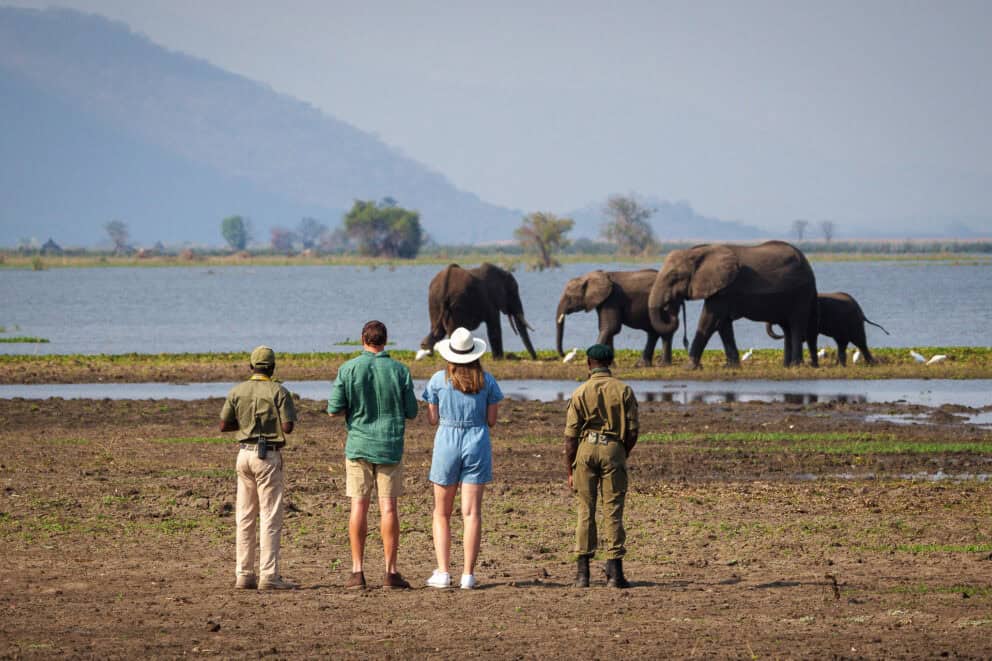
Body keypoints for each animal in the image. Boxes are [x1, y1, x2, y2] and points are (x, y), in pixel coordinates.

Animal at [647, 240, 819, 368]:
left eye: (674, 277)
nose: (672, 307)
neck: (697, 252)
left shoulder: (725, 289)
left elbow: (709, 320)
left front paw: (689, 367)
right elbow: (723, 325)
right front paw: (731, 366)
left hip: (801, 293)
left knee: (796, 324)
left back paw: (796, 365)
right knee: (787, 327)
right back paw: (787, 366)